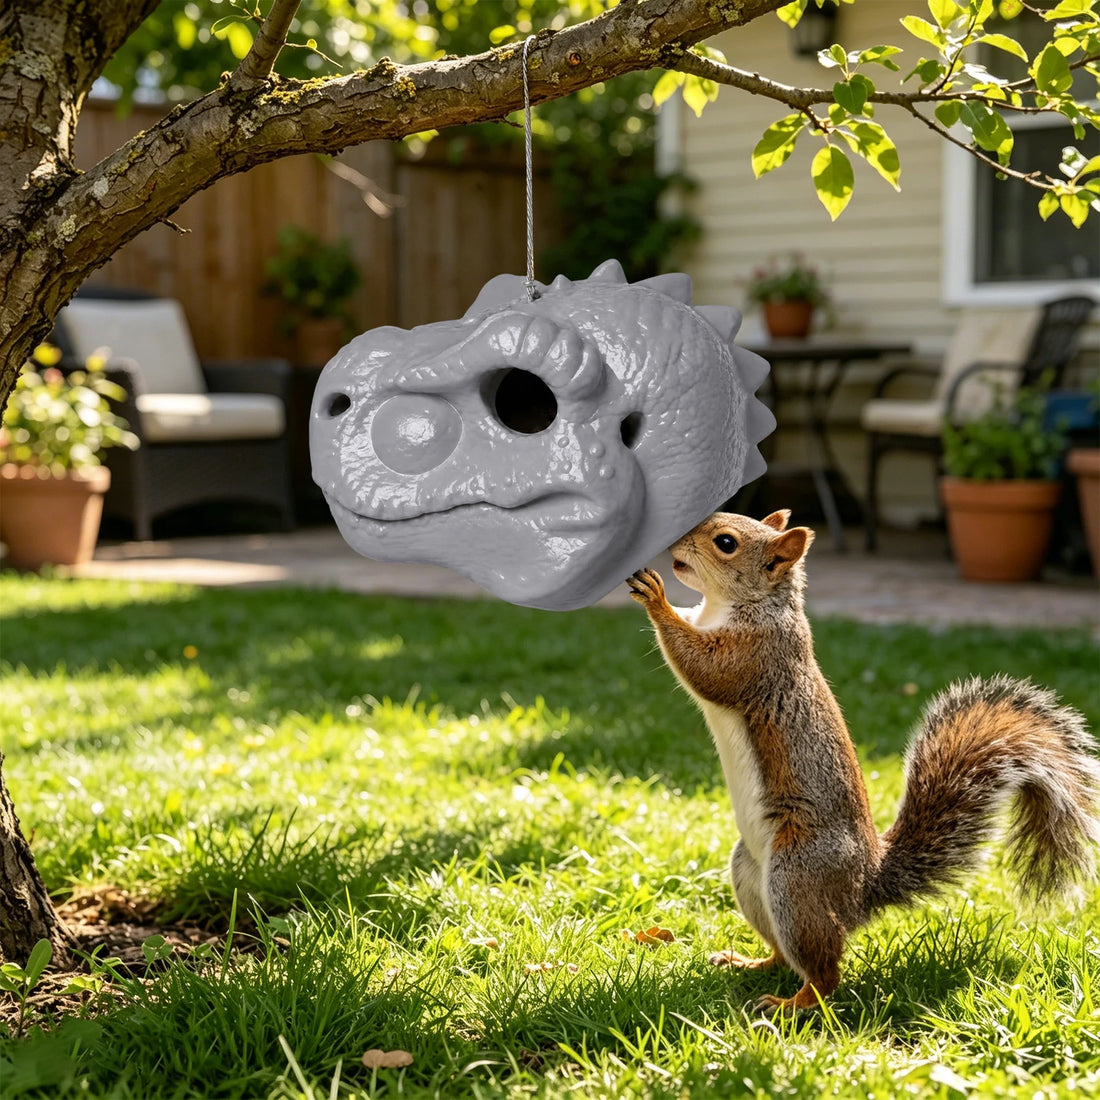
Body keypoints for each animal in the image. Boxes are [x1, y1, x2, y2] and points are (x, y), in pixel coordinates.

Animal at [627, 509, 1100, 1013]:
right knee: (785, 953)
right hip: (750, 873)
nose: (675, 539)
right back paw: (750, 964)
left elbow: (703, 667)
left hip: (796, 879)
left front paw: (656, 598)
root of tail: (861, 888)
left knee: (824, 973)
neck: (730, 605)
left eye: (726, 542)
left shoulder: (755, 656)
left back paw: (790, 1005)